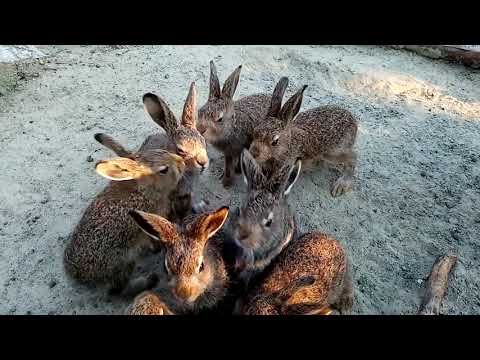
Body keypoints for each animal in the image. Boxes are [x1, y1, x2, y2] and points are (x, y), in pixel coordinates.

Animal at [65, 134, 188, 296]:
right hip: (124, 262)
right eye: (164, 170)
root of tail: (80, 276)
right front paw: (156, 248)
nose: (182, 163)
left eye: (163, 151)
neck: (144, 188)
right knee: (118, 289)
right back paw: (148, 281)